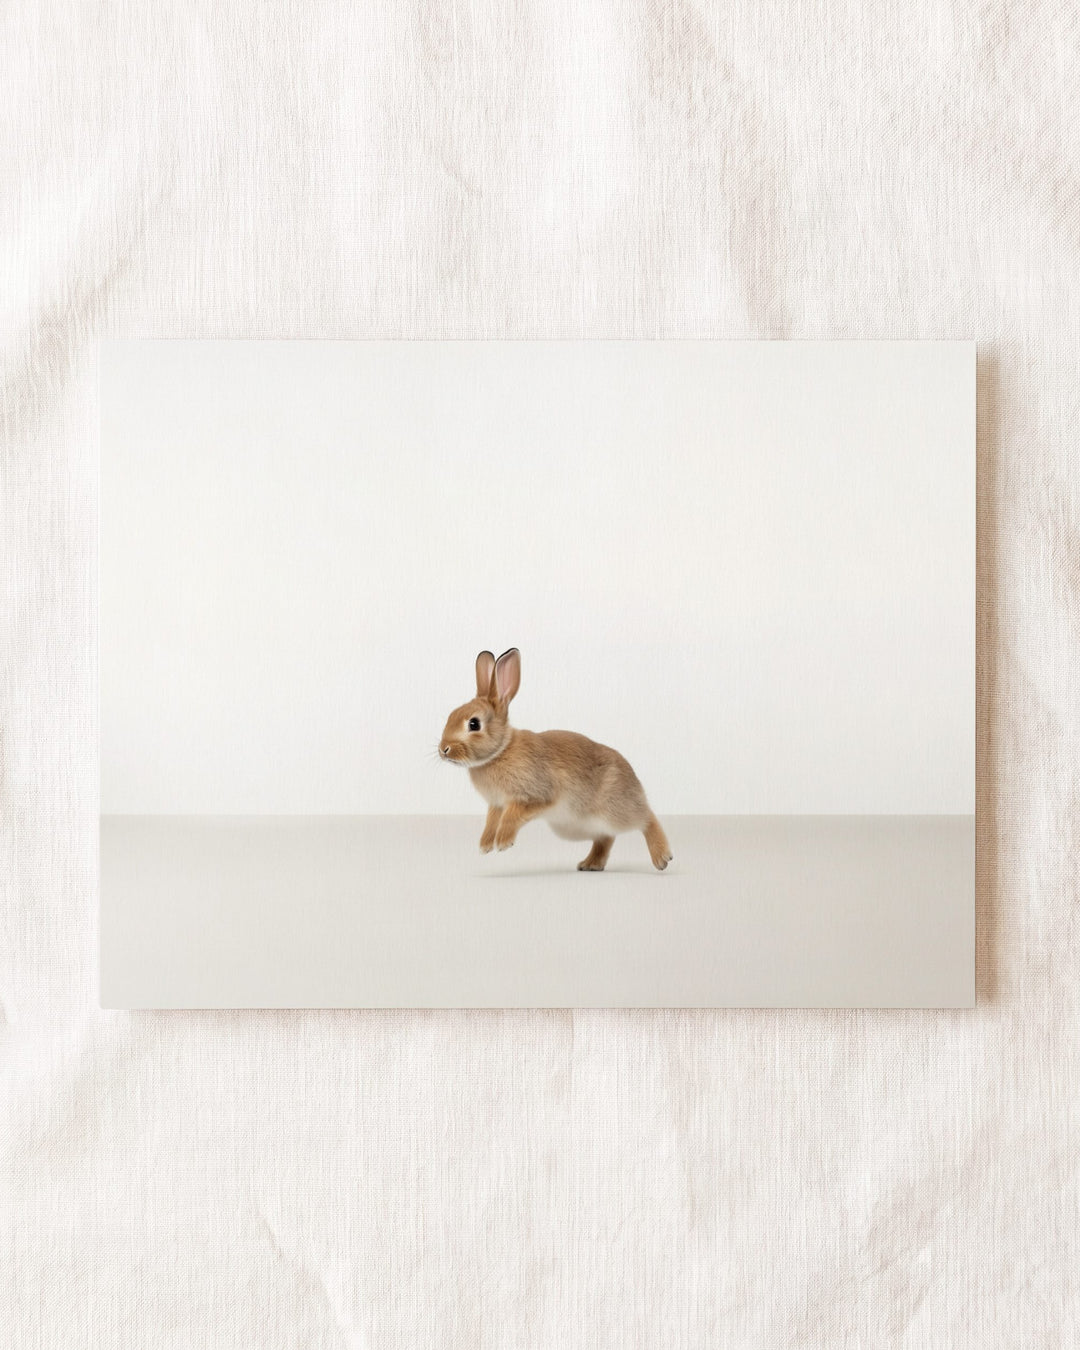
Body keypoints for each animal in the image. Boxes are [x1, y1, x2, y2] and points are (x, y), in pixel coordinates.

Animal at [439, 648, 673, 872]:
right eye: (451, 715)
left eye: (474, 724)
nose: (443, 750)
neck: (501, 751)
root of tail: (633, 778)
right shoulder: (496, 804)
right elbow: (490, 821)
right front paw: (485, 846)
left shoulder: (535, 796)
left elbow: (511, 816)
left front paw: (504, 843)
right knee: (605, 837)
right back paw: (591, 864)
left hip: (615, 810)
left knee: (646, 819)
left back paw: (662, 857)